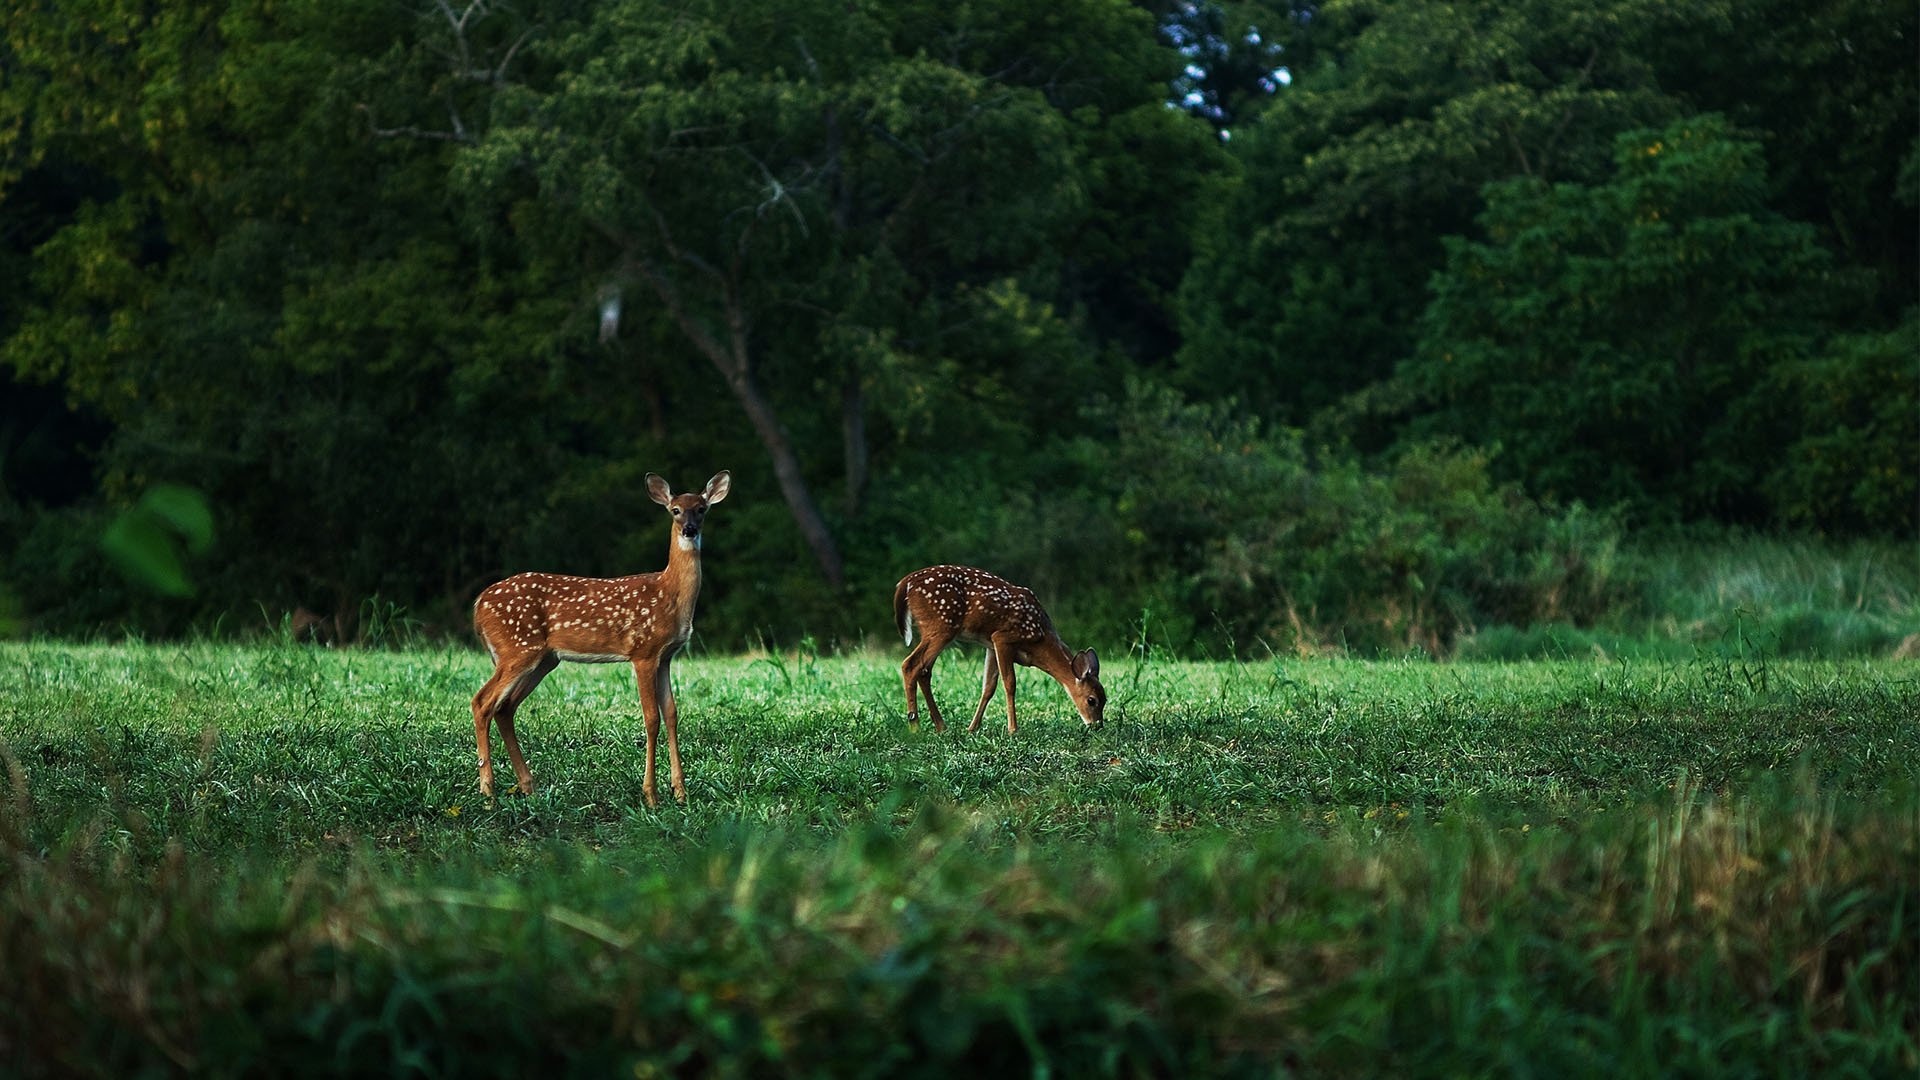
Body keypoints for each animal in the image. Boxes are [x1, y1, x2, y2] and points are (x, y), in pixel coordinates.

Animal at [468, 466, 729, 803]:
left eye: (702, 508)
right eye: (675, 510)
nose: (689, 530)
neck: (669, 593)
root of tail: (478, 604)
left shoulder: (666, 656)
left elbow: (671, 714)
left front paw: (680, 792)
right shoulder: (643, 651)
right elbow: (651, 718)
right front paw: (651, 795)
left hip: (543, 659)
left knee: (504, 707)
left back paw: (527, 786)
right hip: (518, 648)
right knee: (482, 702)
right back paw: (488, 790)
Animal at [890, 564, 1105, 730]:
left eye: (1105, 699)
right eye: (1091, 700)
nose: (1097, 726)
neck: (1039, 639)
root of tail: (905, 583)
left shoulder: (991, 646)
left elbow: (988, 687)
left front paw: (972, 728)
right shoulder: (1002, 638)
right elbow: (1010, 683)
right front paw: (1013, 729)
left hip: (937, 629)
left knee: (924, 670)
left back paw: (941, 726)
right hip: (941, 625)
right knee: (910, 665)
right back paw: (916, 728)